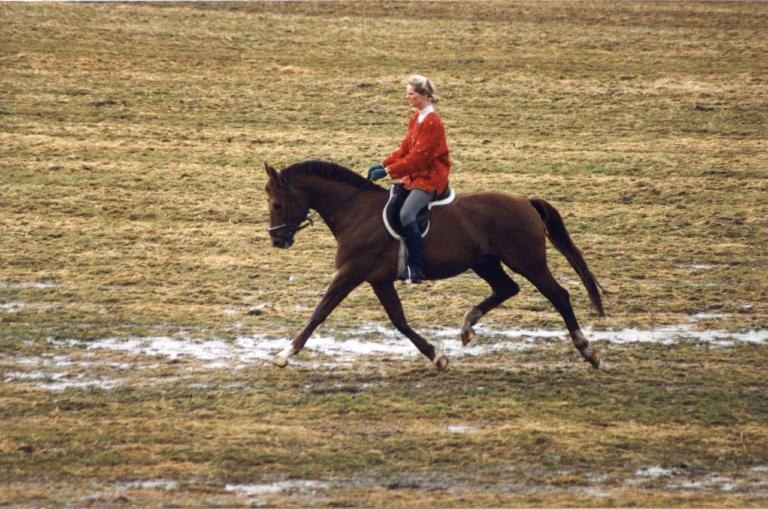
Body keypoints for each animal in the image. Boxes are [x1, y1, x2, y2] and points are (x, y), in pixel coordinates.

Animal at [264, 161, 608, 372]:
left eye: (277, 203)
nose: (277, 239)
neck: (356, 212)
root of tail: (525, 202)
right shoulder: (378, 279)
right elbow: (400, 321)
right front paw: (437, 356)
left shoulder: (351, 272)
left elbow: (320, 312)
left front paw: (285, 354)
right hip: (485, 262)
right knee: (507, 288)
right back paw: (467, 325)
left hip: (527, 262)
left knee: (558, 295)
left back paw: (586, 349)